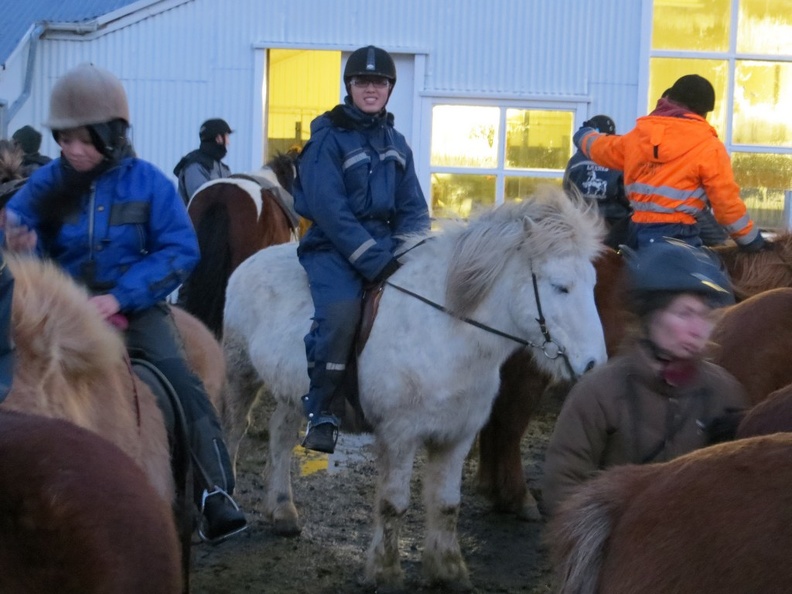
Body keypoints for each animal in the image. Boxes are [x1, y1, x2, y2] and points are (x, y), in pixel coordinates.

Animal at [221, 186, 608, 588]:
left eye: (593, 284)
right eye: (560, 286)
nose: (593, 364)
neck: (445, 332)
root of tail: (251, 262)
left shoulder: (456, 437)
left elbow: (448, 505)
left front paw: (449, 571)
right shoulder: (400, 435)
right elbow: (393, 504)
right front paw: (386, 572)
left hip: (294, 392)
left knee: (281, 436)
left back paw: (282, 511)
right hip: (240, 371)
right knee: (233, 429)